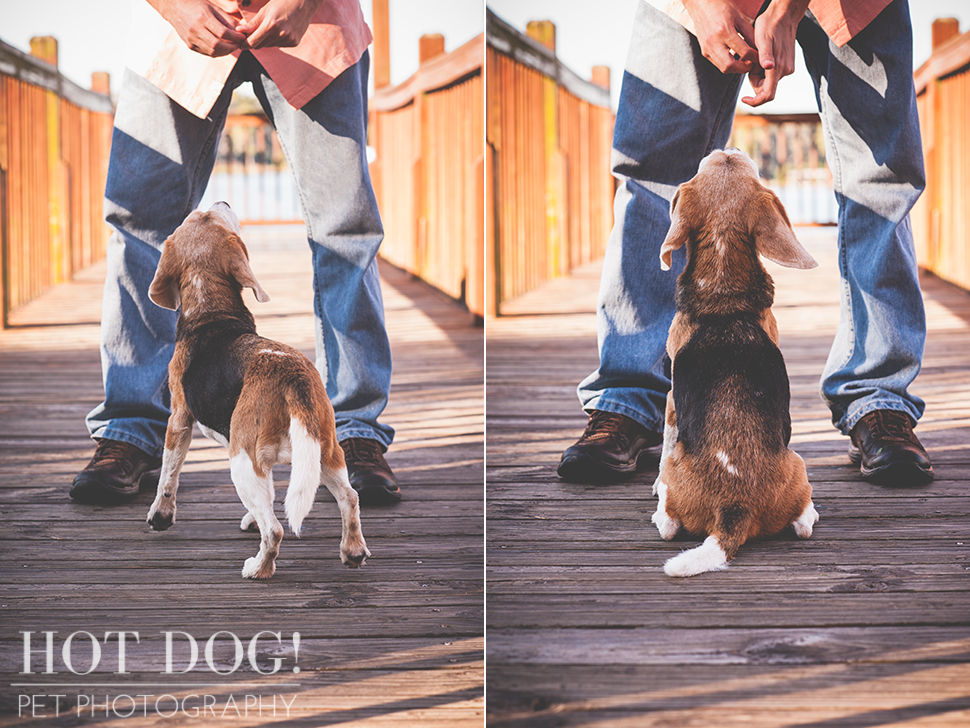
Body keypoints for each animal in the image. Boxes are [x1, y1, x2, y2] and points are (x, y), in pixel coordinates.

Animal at [146, 202, 368, 576]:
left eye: (201, 217)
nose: (223, 203)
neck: (212, 312)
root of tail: (292, 375)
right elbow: (270, 498)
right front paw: (252, 517)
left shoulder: (179, 419)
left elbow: (167, 475)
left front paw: (160, 516)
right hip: (325, 453)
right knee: (350, 498)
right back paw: (352, 550)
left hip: (241, 462)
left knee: (276, 529)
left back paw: (258, 568)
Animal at [652, 151, 816, 576]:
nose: (728, 151)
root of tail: (734, 506)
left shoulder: (672, 400)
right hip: (796, 462)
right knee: (801, 523)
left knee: (670, 526)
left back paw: (660, 511)